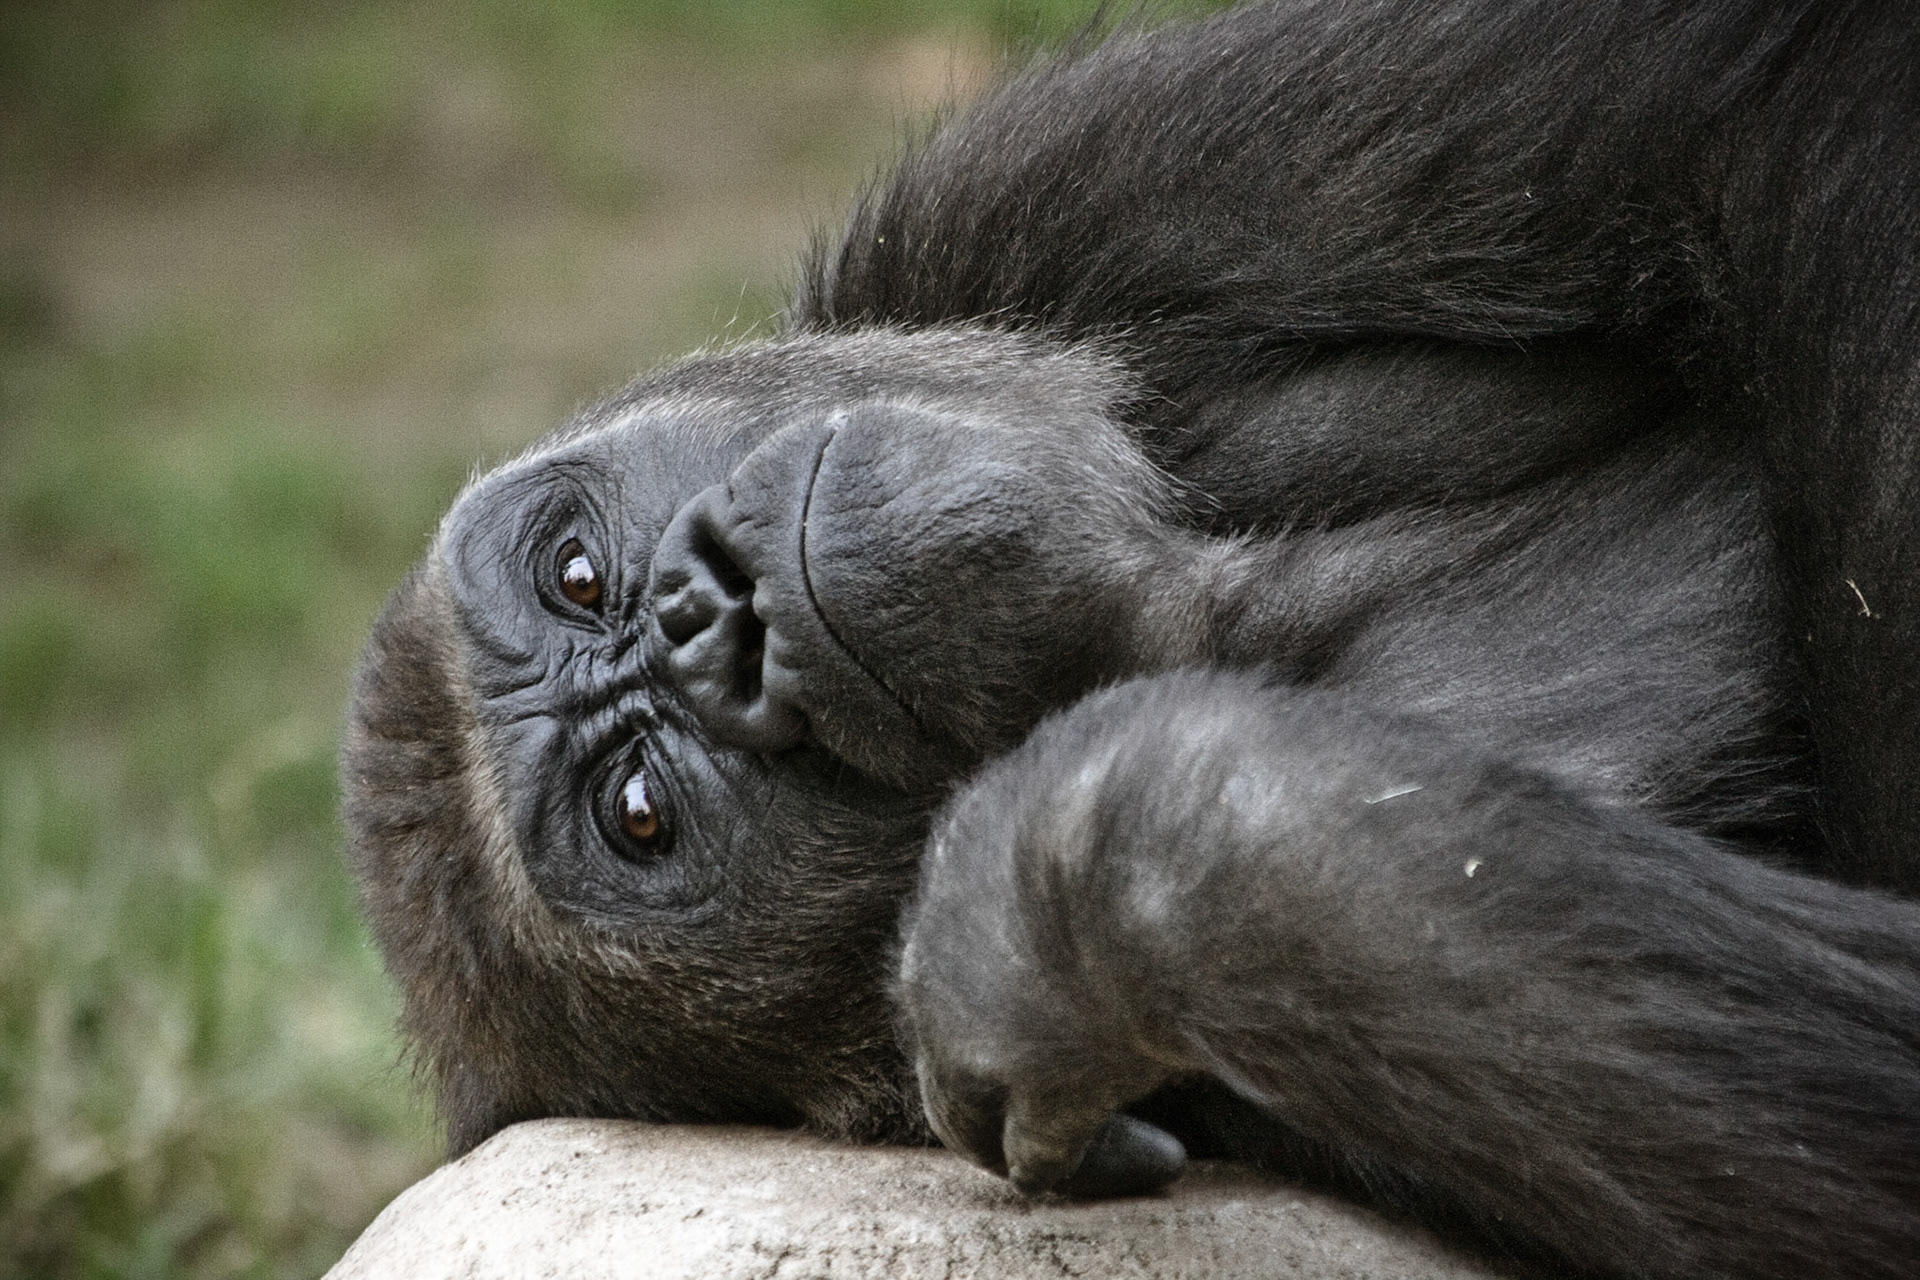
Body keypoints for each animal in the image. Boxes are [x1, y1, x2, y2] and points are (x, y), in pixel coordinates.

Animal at [343, 2, 1920, 1277]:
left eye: (575, 570)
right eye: (641, 815)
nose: (698, 615)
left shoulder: (1030, 196)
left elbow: (1749, 109)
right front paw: (1070, 886)